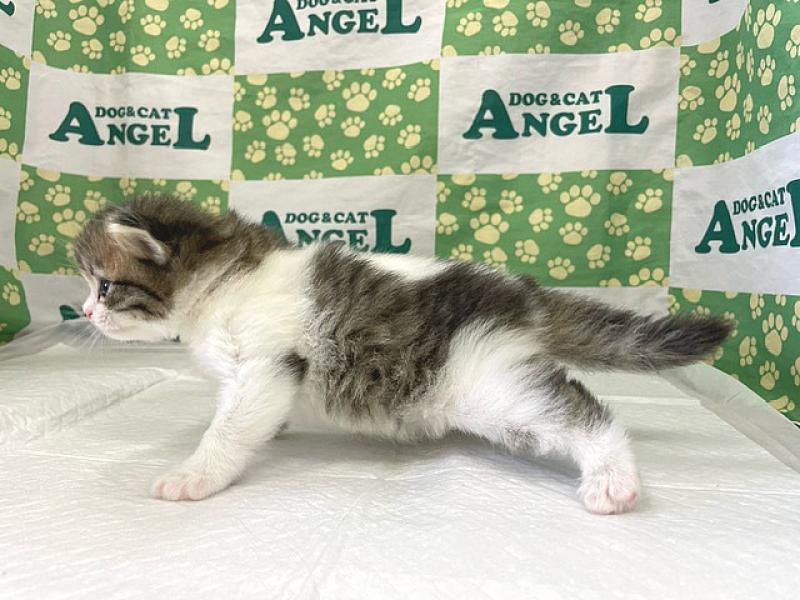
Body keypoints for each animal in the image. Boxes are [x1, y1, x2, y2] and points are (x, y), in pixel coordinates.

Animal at [74, 194, 732, 514]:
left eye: (104, 286)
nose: (83, 312)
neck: (223, 279)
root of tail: (520, 293)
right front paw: (275, 432)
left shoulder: (265, 362)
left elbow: (229, 428)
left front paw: (195, 475)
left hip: (479, 382)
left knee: (577, 410)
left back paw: (613, 478)